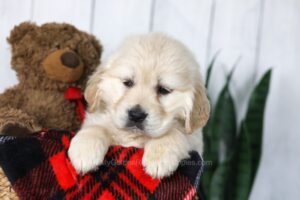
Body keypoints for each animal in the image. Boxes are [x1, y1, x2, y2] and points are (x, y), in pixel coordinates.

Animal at [68, 33, 210, 178]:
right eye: (128, 82)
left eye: (163, 90)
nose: (136, 115)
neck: (134, 136)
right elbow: (96, 128)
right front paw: (84, 152)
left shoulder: (194, 140)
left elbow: (175, 132)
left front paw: (159, 158)